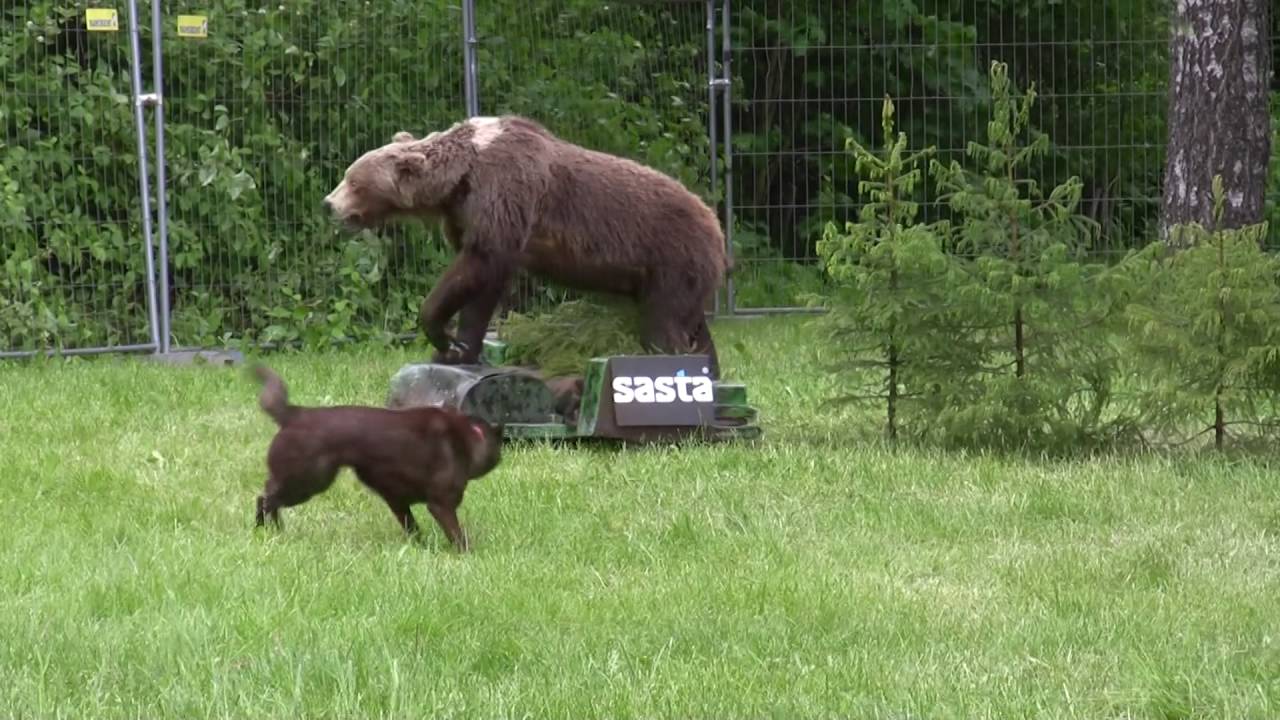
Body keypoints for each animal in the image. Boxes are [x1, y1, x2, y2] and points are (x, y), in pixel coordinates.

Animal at [321, 115, 729, 379]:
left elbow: (475, 267)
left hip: (672, 259)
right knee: (693, 327)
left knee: (664, 326)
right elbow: (484, 287)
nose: (329, 204)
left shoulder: (503, 197)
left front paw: (442, 335)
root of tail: (717, 225)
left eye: (353, 181)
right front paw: (460, 349)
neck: (460, 181)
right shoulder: (471, 217)